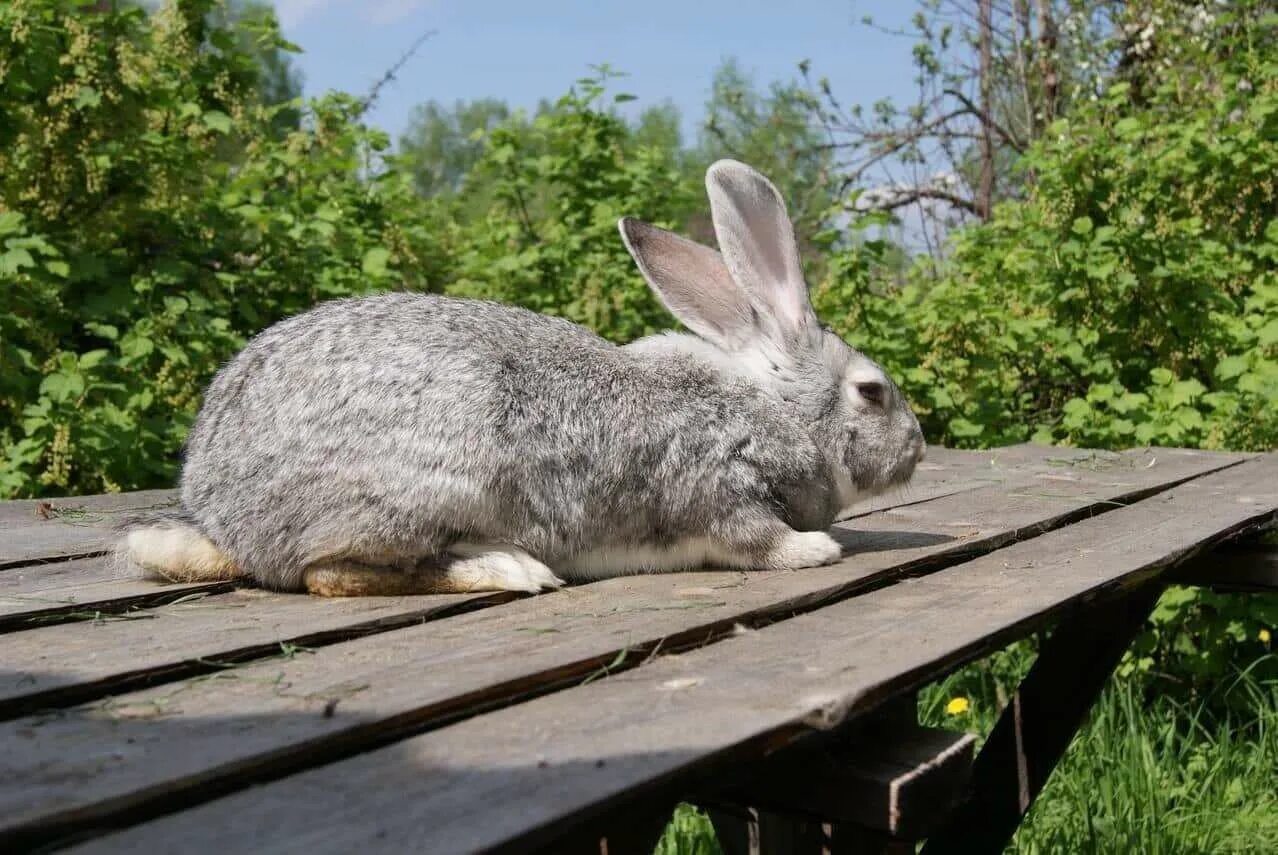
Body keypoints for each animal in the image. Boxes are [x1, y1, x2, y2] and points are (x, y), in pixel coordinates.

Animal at [117, 161, 920, 600]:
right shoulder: (719, 483)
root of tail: (224, 514)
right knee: (332, 574)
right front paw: (815, 551)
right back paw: (511, 568)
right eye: (871, 391)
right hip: (417, 495)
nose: (916, 448)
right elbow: (754, 536)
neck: (771, 405)